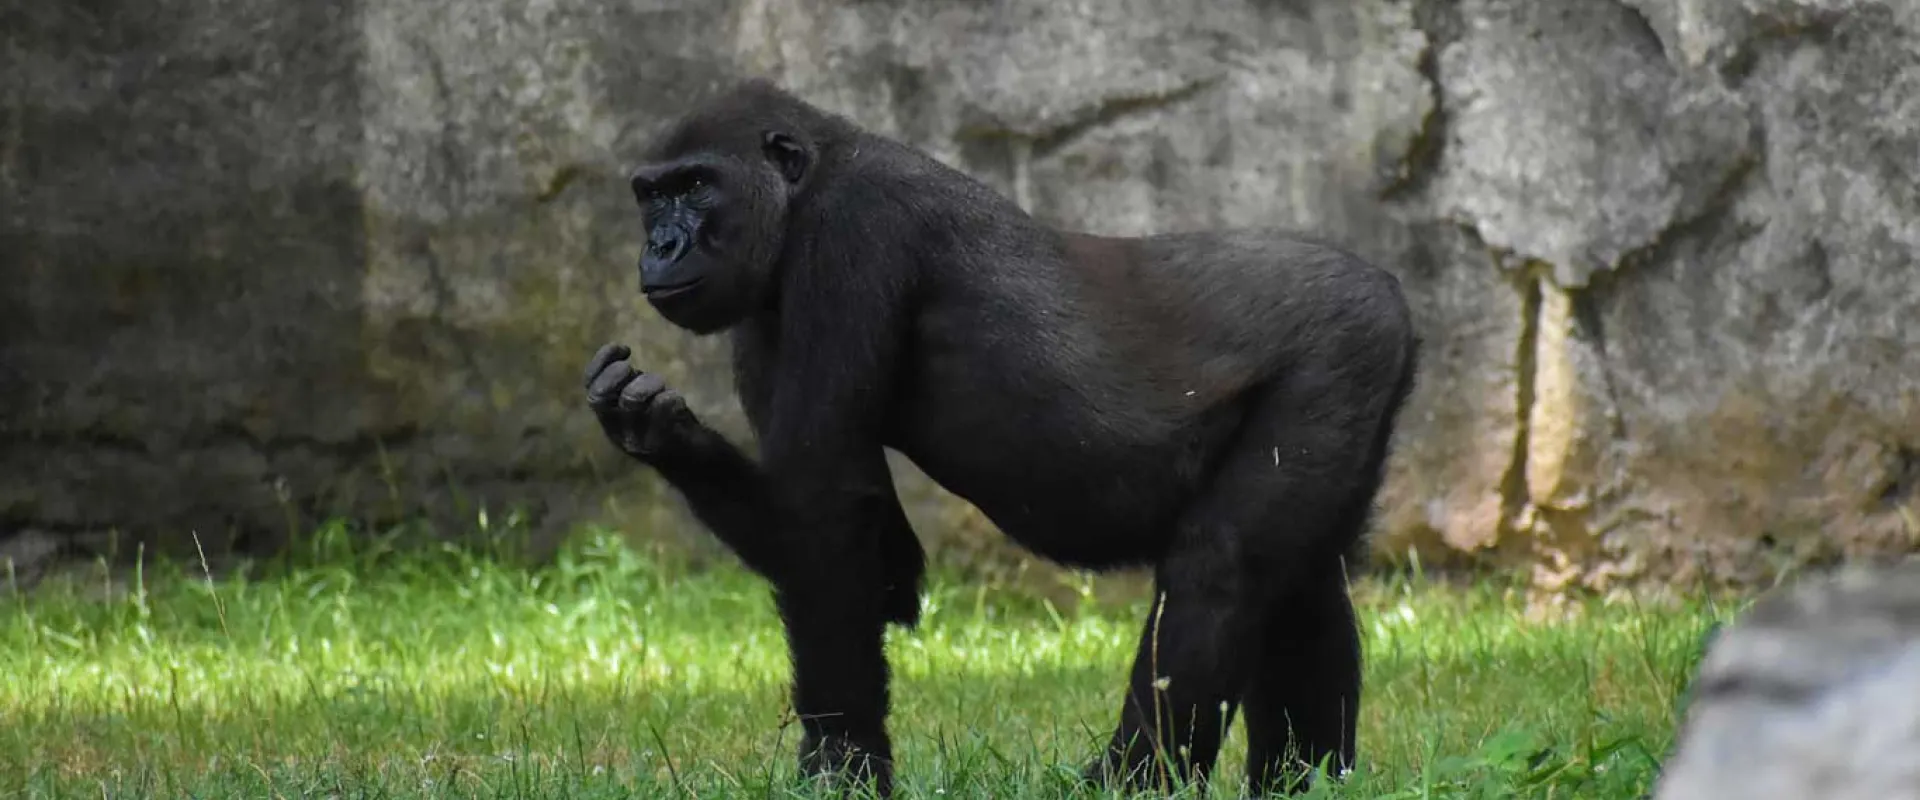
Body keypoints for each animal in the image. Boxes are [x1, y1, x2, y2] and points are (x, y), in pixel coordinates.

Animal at [584, 78, 1419, 797]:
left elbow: (829, 517)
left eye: (696, 186)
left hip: (1341, 348)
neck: (809, 182)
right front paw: (660, 434)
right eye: (651, 196)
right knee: (1302, 583)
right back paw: (1304, 778)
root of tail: (1390, 290)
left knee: (1222, 571)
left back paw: (1131, 778)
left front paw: (843, 764)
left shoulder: (850, 234)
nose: (660, 246)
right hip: (1360, 368)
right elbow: (878, 561)